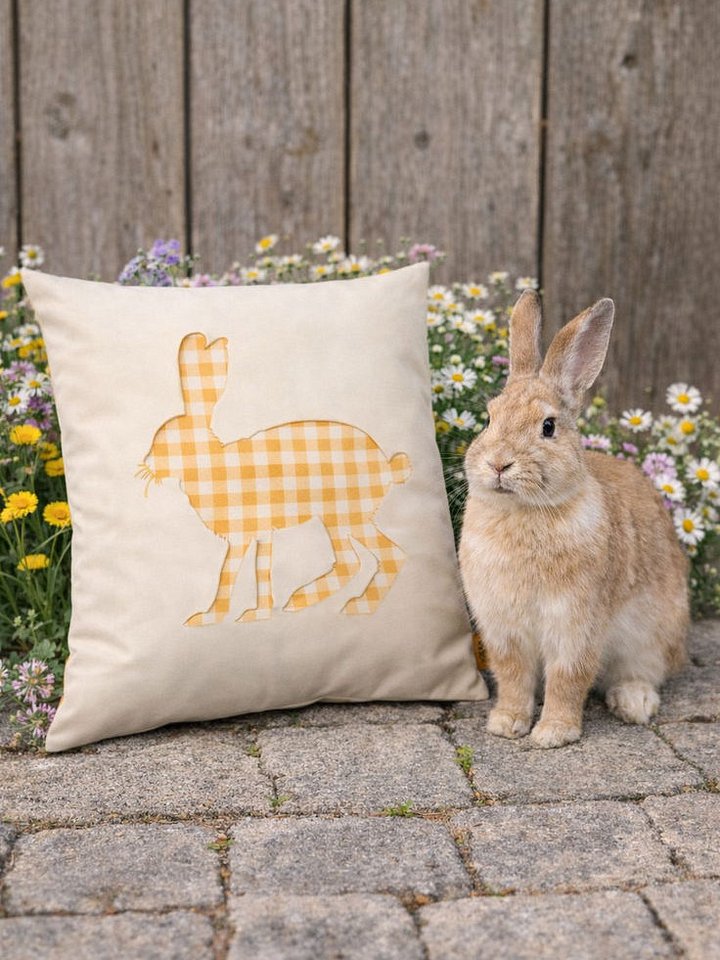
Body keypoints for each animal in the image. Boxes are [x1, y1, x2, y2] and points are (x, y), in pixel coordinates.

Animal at [138, 332, 411, 624]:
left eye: (164, 445)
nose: (146, 463)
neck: (211, 464)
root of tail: (388, 467)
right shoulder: (263, 532)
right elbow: (262, 569)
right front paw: (259, 613)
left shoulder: (241, 536)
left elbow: (229, 573)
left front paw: (210, 617)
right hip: (345, 518)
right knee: (372, 558)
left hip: (344, 515)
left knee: (369, 558)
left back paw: (325, 603)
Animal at [459, 291, 688, 748]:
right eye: (490, 418)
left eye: (548, 427)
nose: (498, 464)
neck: (524, 511)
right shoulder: (503, 630)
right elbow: (512, 676)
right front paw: (507, 724)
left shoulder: (576, 624)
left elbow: (569, 678)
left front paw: (553, 734)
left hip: (653, 637)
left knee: (645, 672)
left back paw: (633, 703)